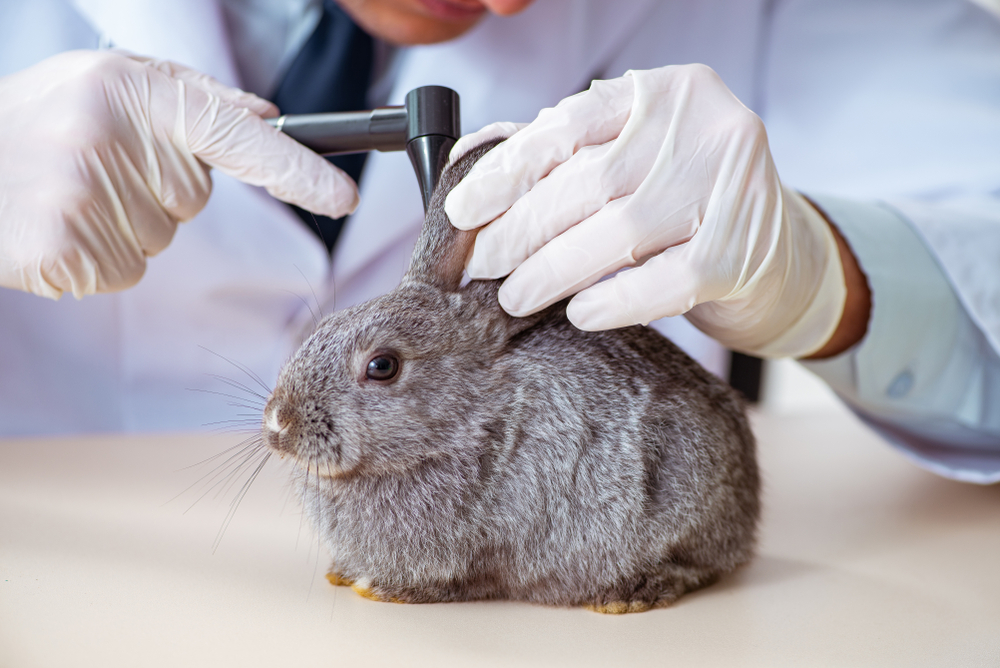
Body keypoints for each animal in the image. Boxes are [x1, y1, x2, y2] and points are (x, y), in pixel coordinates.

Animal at [261, 138, 759, 614]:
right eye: (324, 328)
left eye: (382, 366)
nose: (278, 423)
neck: (470, 424)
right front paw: (344, 573)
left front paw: (383, 589)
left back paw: (631, 594)